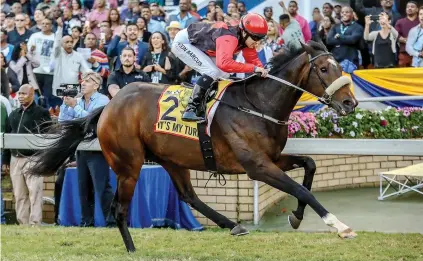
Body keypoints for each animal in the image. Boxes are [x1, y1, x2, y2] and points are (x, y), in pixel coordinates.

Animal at [27, 41, 358, 251]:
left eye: (339, 67)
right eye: (324, 69)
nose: (350, 103)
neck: (257, 105)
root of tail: (108, 106)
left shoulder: (272, 159)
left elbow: (310, 166)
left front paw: (296, 217)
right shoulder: (257, 166)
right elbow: (301, 189)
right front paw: (339, 225)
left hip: (172, 160)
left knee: (189, 196)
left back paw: (233, 225)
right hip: (129, 164)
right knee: (119, 209)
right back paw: (132, 249)